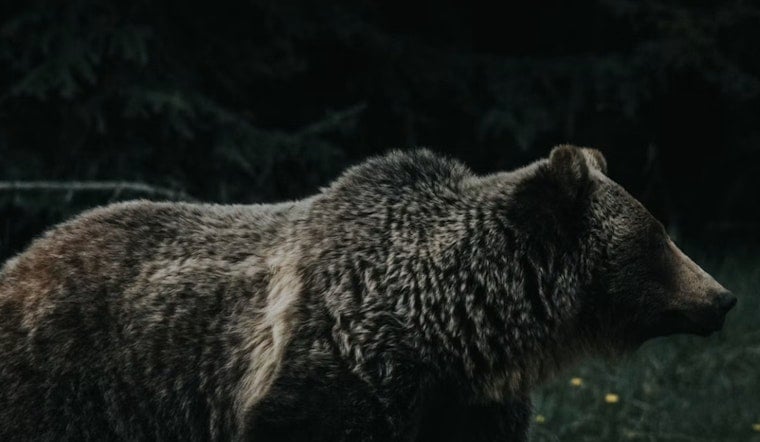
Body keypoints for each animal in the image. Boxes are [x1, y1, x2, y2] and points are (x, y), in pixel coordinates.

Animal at [0, 145, 735, 441]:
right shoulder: (333, 375)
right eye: (657, 237)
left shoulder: (465, 405)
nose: (723, 296)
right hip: (80, 386)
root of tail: (21, 258)